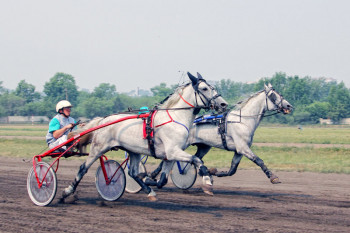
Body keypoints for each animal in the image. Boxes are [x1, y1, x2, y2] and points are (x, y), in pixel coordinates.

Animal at [61, 72, 228, 201]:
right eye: (205, 88)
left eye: (213, 87)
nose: (224, 104)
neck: (175, 117)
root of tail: (102, 120)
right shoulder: (173, 151)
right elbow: (196, 160)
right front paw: (207, 179)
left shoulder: (170, 156)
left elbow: (162, 180)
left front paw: (149, 180)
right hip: (98, 148)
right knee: (83, 168)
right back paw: (66, 192)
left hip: (133, 151)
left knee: (133, 173)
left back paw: (149, 191)